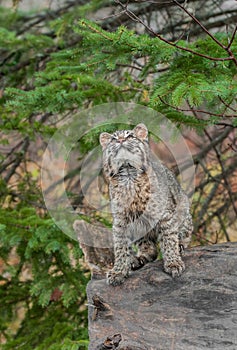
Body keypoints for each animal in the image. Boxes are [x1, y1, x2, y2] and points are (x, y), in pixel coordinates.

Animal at [100, 122, 193, 284]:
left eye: (130, 136)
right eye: (113, 139)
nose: (120, 140)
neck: (128, 174)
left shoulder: (165, 215)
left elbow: (169, 239)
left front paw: (173, 263)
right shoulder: (121, 221)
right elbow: (120, 247)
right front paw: (118, 271)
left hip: (183, 207)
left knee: (184, 233)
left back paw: (180, 245)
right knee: (150, 249)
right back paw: (138, 260)